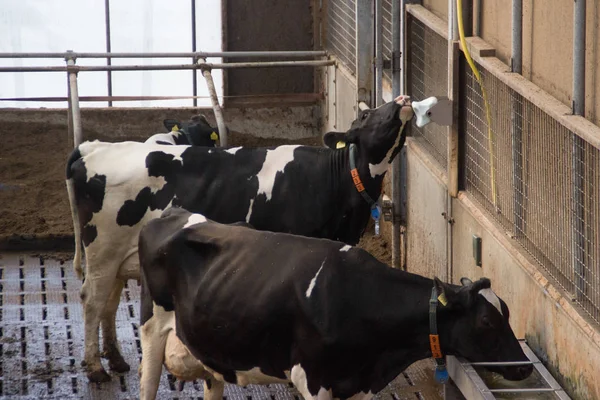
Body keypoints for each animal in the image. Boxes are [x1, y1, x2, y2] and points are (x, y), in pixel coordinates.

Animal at [64, 94, 412, 382]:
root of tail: (95, 147)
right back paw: (95, 368)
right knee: (92, 300)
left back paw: (115, 359)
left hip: (118, 258)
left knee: (108, 302)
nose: (402, 99)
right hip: (102, 250)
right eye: (366, 115)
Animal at [138, 208, 532, 400]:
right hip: (152, 330)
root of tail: (173, 213)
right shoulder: (312, 380)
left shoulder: (360, 384)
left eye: (508, 313)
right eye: (486, 321)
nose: (525, 366)